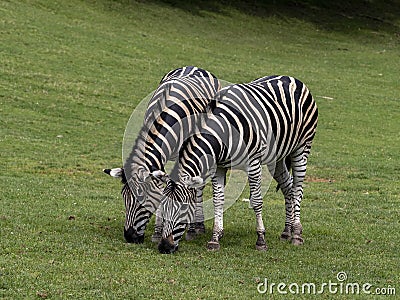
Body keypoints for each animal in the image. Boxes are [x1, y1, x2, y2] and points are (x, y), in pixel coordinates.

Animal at [103, 66, 222, 244]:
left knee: (199, 186)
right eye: (124, 197)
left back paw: (197, 227)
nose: (129, 237)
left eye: (142, 198)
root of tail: (196, 67)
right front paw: (158, 232)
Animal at [152, 75, 318, 253]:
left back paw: (296, 234)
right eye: (163, 206)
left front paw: (261, 240)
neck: (223, 131)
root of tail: (291, 78)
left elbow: (257, 201)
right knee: (288, 187)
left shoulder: (253, 163)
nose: (164, 247)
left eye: (183, 208)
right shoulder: (219, 166)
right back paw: (287, 231)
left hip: (302, 147)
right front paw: (215, 238)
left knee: (297, 189)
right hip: (278, 156)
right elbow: (218, 200)